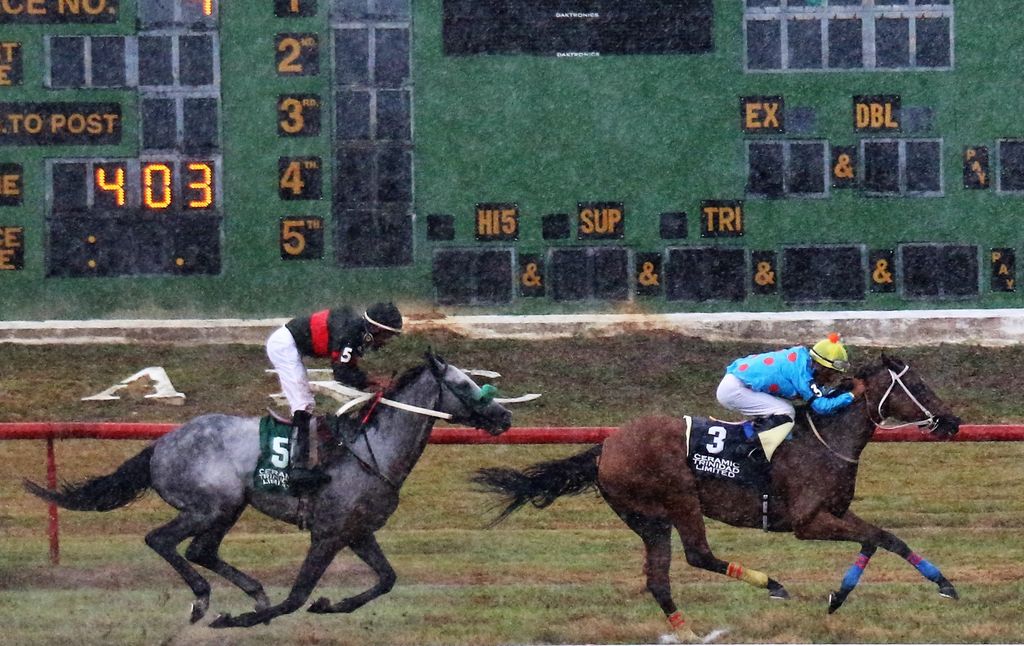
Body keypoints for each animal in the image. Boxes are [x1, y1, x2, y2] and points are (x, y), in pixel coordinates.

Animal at [25, 351, 512, 628]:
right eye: (465, 384)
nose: (505, 416)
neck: (373, 448)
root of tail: (161, 444)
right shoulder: (328, 534)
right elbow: (296, 597)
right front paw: (239, 620)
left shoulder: (357, 532)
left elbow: (386, 579)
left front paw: (330, 606)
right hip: (210, 505)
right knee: (161, 540)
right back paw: (204, 600)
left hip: (229, 507)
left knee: (200, 550)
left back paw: (249, 590)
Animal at [473, 354, 961, 643]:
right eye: (917, 384)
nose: (953, 421)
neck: (827, 439)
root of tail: (606, 447)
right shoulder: (808, 523)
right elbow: (879, 537)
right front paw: (939, 585)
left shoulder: (836, 512)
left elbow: (881, 539)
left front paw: (844, 597)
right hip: (680, 498)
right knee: (697, 554)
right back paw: (772, 585)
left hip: (648, 519)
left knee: (659, 579)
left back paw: (687, 632)